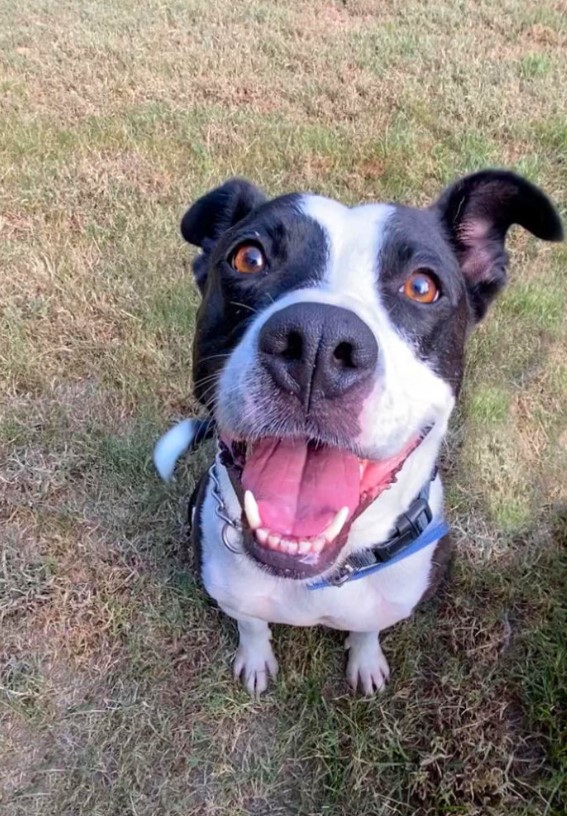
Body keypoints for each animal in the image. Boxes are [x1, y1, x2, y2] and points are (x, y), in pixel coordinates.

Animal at [153, 171, 560, 696]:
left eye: (422, 286)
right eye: (249, 257)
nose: (317, 343)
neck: (323, 575)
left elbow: (367, 630)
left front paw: (366, 662)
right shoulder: (234, 595)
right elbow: (252, 625)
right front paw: (256, 659)